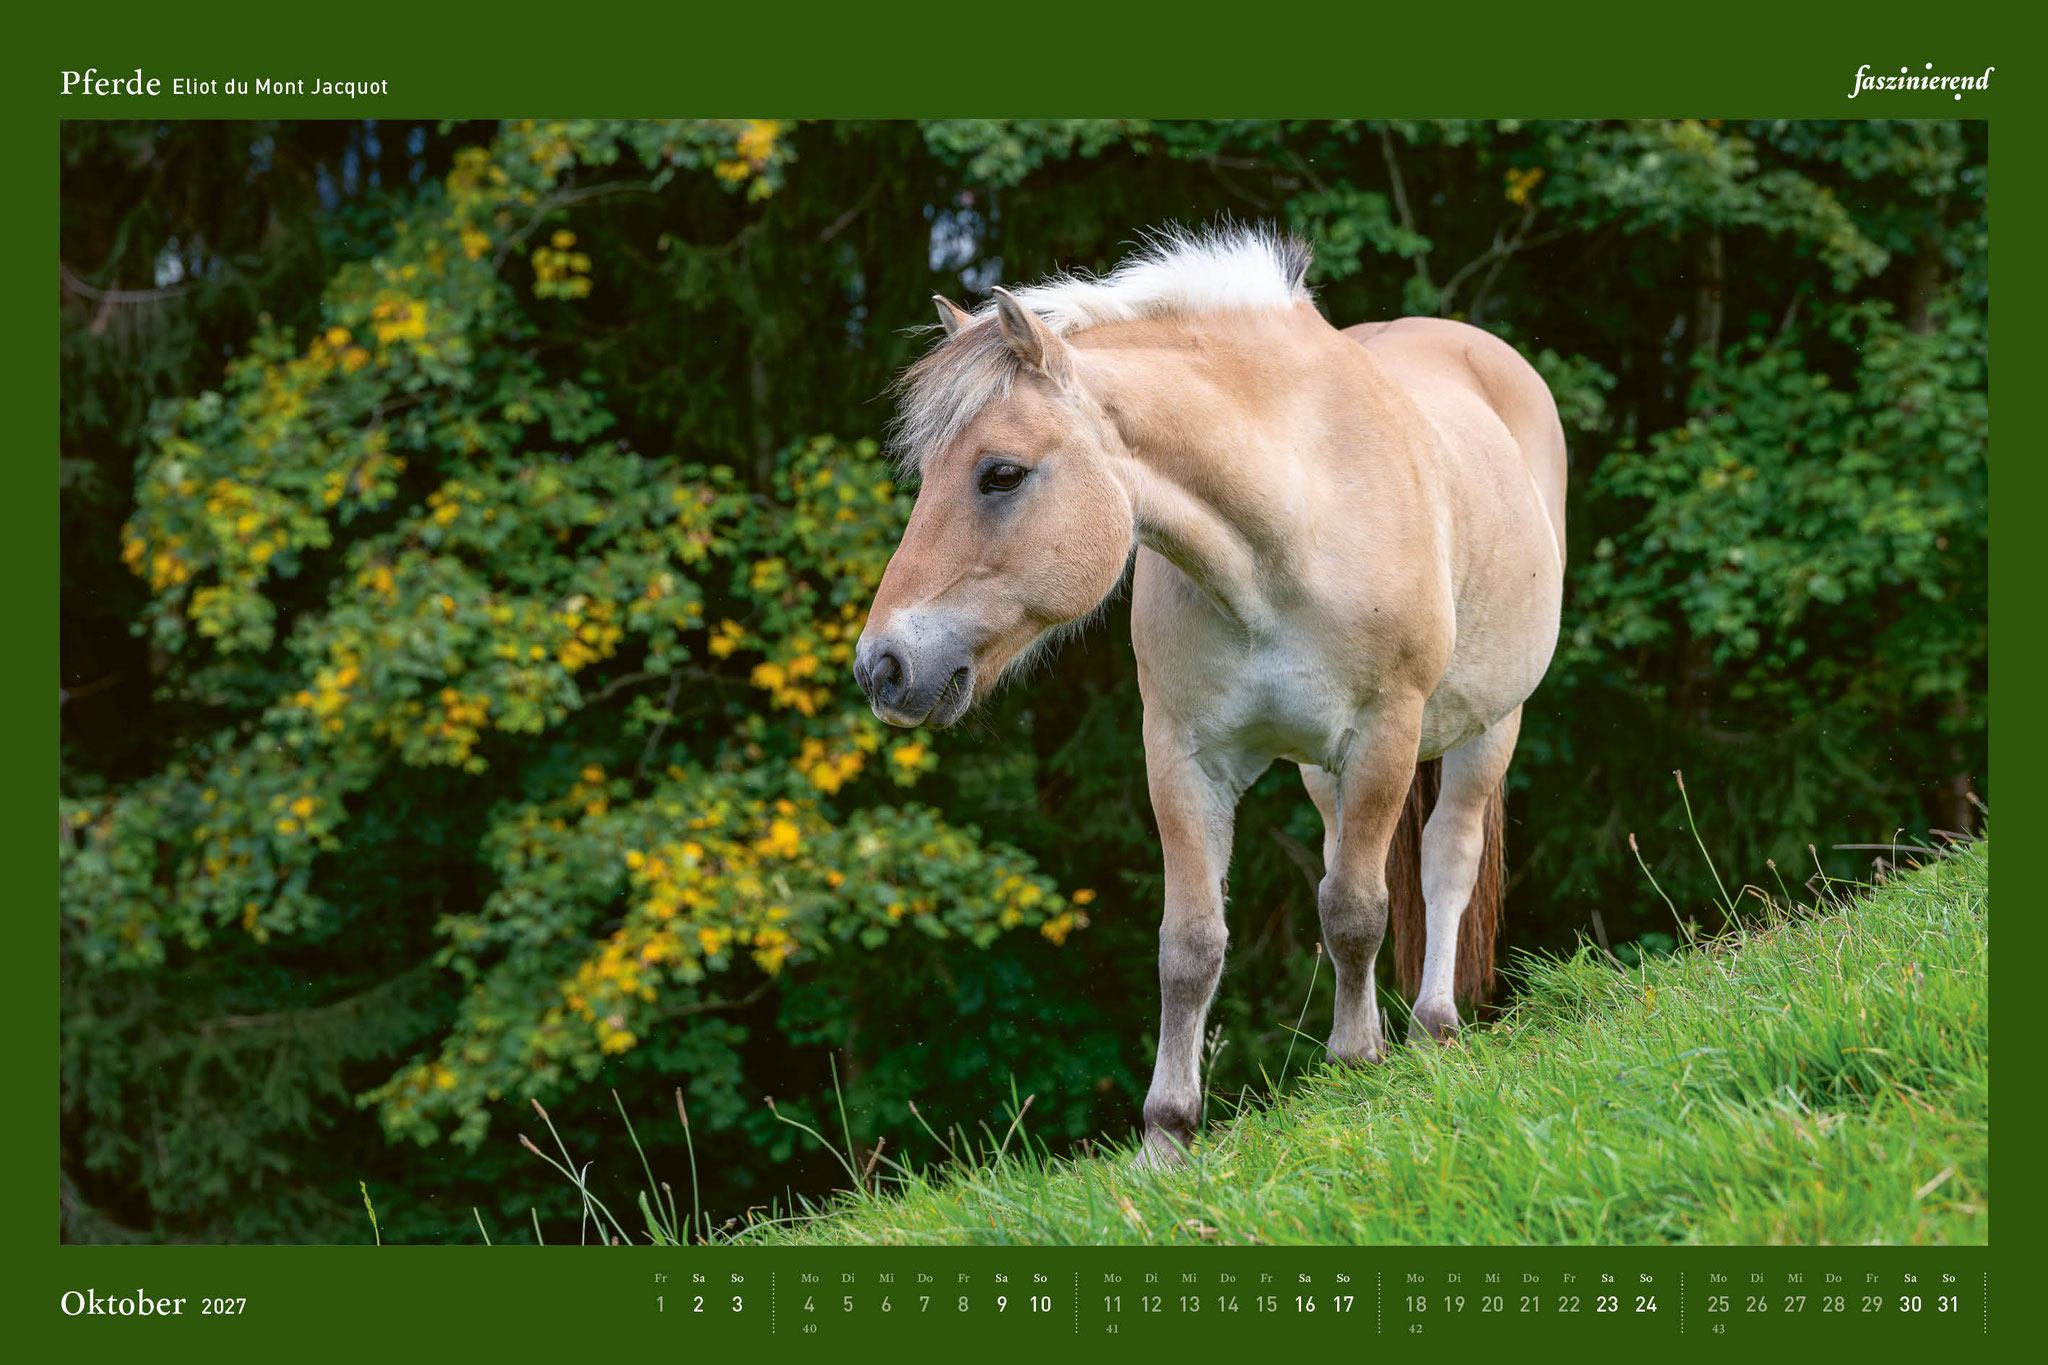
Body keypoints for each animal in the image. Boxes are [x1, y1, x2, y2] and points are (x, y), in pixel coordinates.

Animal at [854, 226, 1566, 1165]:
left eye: (1000, 474)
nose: (883, 665)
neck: (1290, 526)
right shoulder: (1185, 756)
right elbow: (1191, 946)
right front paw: (1167, 1134)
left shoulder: (1385, 731)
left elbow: (1357, 909)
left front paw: (1353, 1067)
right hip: (1323, 773)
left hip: (1490, 725)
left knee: (1446, 857)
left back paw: (1432, 1026)